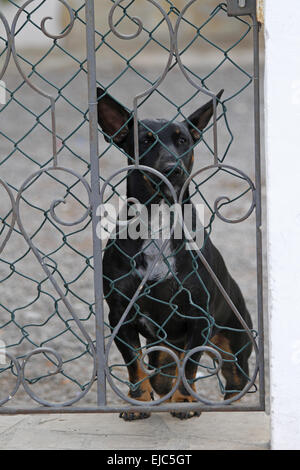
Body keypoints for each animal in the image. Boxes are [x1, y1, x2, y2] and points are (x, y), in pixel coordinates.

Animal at [97, 86, 252, 420]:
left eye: (183, 140)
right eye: (145, 141)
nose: (174, 169)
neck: (158, 217)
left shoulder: (199, 316)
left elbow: (190, 365)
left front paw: (184, 401)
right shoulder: (120, 316)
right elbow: (134, 365)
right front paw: (139, 402)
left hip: (233, 340)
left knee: (234, 378)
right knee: (161, 370)